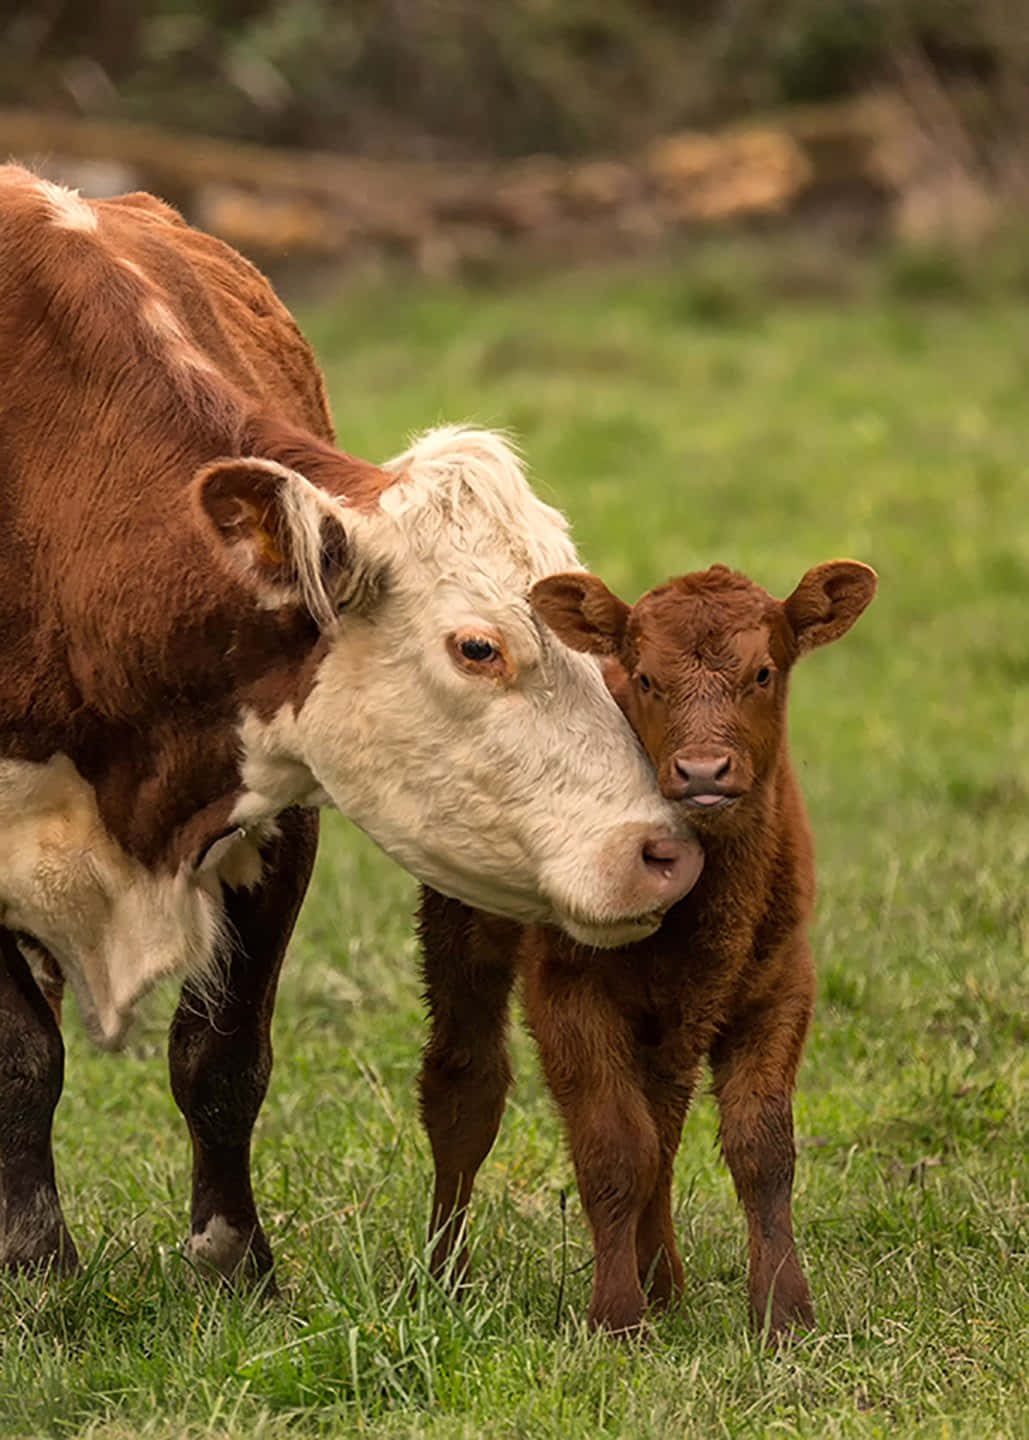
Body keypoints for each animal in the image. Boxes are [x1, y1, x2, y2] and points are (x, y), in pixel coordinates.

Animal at [0, 165, 703, 1279]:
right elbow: (22, 1059)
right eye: (477, 647)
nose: (663, 854)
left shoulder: (277, 811)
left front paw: (232, 1261)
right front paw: (36, 1266)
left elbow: (221, 1056)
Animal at [418, 558, 876, 1338]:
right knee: (464, 1087)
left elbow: (760, 1149)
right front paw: (615, 1316)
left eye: (762, 672)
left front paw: (783, 1312)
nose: (702, 771)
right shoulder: (567, 988)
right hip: (461, 924)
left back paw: (664, 1280)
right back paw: (446, 1278)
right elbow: (613, 1148)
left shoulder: (781, 983)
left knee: (662, 1118)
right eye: (646, 678)